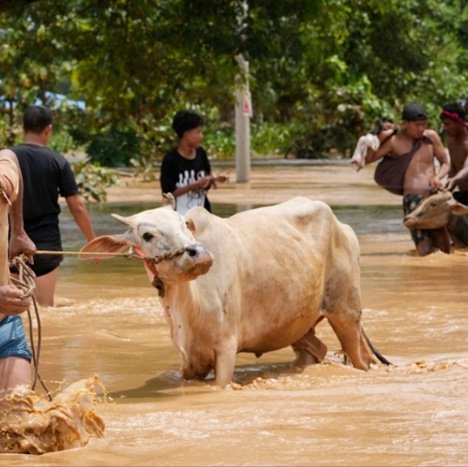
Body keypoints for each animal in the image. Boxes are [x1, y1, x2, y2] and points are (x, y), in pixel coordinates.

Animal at [80, 197, 388, 388]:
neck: (188, 306)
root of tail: (343, 226)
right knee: (316, 350)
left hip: (346, 313)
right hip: (299, 324)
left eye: (184, 225)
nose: (199, 254)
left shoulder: (226, 348)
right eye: (147, 235)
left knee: (360, 358)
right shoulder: (188, 360)